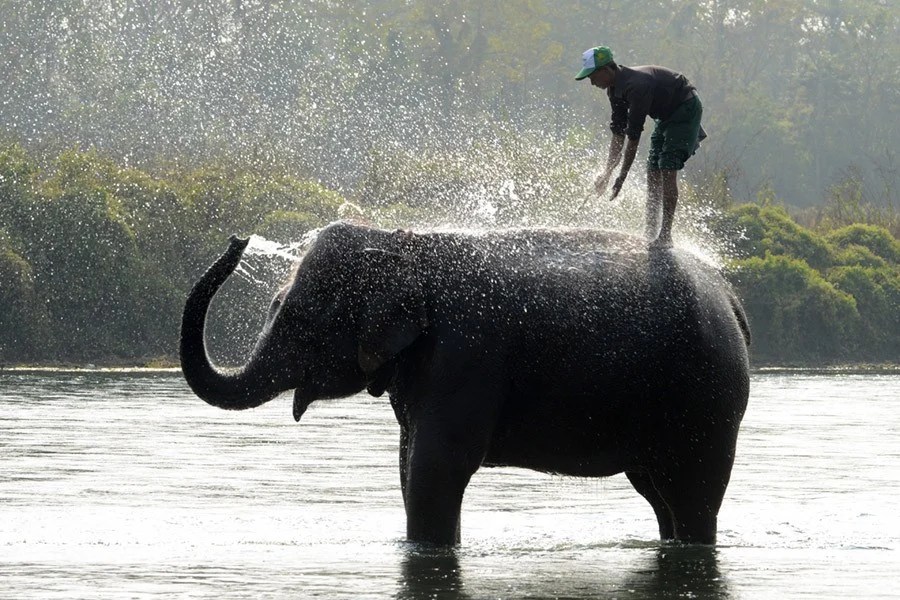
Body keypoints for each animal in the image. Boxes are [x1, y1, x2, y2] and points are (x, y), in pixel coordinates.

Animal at [180, 222, 750, 546]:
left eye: (294, 316)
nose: (237, 240)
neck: (404, 243)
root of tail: (730, 296)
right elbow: (408, 464)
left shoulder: (464, 354)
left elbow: (437, 464)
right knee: (658, 493)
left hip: (706, 395)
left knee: (691, 492)